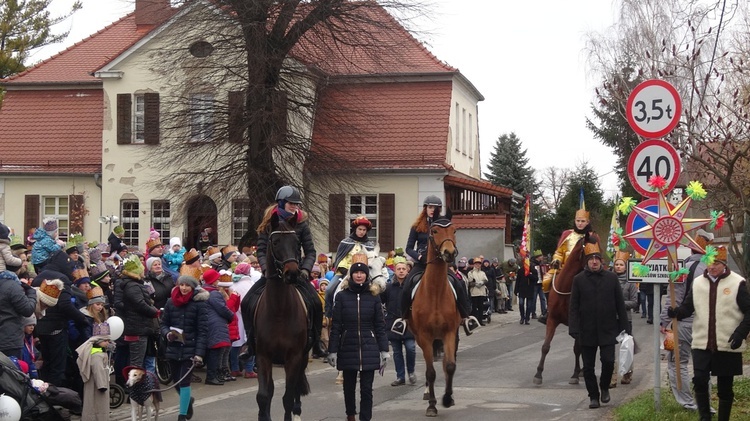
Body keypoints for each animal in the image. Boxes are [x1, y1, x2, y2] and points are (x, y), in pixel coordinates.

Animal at [247, 213, 312, 420]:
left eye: (296, 242)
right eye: (275, 242)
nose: (292, 273)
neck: (279, 311)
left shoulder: (294, 357)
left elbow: (288, 397)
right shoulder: (263, 356)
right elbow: (263, 395)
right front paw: (263, 415)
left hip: (303, 357)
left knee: (296, 389)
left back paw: (297, 412)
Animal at [408, 215, 462, 416]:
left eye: (454, 230)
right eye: (435, 231)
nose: (449, 253)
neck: (436, 292)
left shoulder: (449, 333)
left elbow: (450, 366)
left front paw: (447, 398)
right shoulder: (424, 336)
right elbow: (430, 372)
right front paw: (432, 405)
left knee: (447, 363)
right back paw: (426, 393)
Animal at [536, 233, 600, 384]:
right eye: (586, 248)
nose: (599, 264)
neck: (566, 289)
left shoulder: (578, 324)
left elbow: (577, 348)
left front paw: (575, 374)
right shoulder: (552, 320)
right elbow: (545, 346)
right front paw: (538, 374)